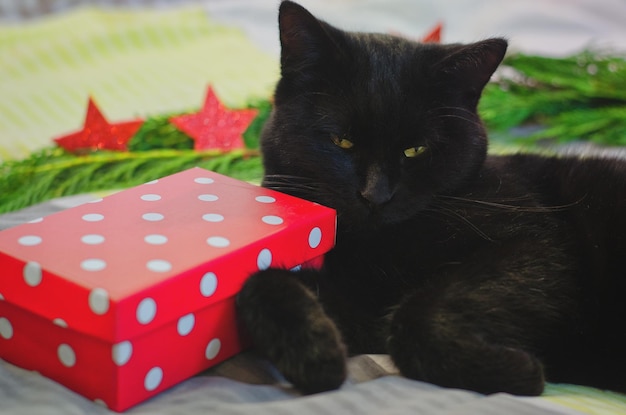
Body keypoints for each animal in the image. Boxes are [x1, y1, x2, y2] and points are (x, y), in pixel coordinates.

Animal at [235, 0, 624, 396]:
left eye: (415, 150)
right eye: (341, 141)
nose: (375, 195)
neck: (376, 250)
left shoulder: (534, 245)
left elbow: (419, 313)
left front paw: (517, 372)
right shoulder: (361, 301)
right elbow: (256, 282)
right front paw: (316, 357)